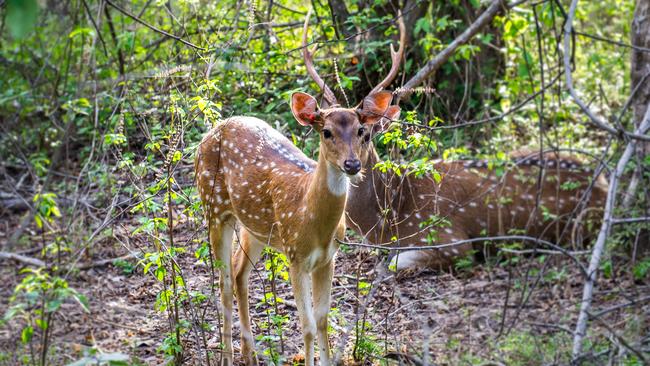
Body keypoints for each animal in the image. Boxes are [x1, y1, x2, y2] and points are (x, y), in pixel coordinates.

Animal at [195, 8, 402, 364]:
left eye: (362, 131)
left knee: (238, 272)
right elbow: (305, 326)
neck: (313, 222)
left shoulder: (328, 258)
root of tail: (211, 131)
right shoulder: (295, 256)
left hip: (255, 228)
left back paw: (251, 354)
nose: (352, 165)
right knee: (222, 281)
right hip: (214, 208)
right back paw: (227, 355)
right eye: (326, 132)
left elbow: (322, 321)